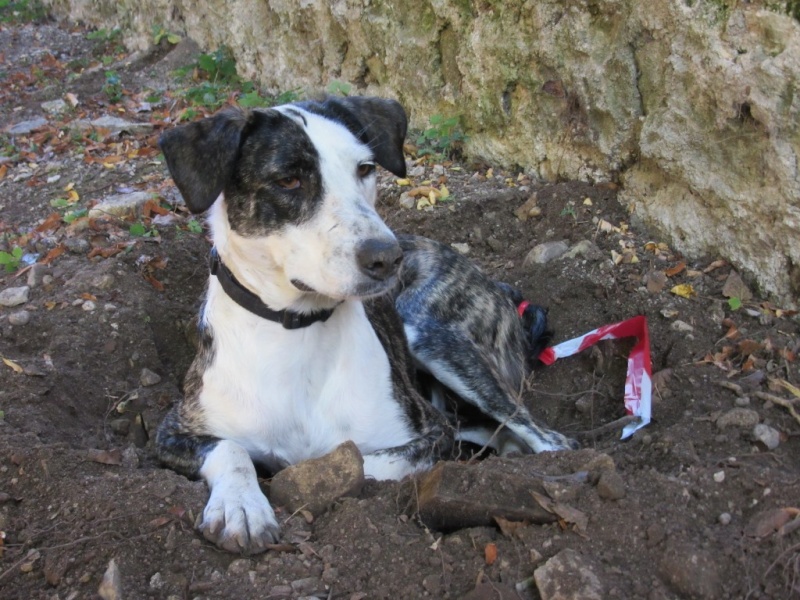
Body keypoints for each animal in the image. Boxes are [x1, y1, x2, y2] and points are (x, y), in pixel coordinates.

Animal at [156, 97, 580, 552]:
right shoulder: (172, 431)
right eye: (288, 179)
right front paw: (242, 507)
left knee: (547, 436)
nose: (387, 257)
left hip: (433, 340)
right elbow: (231, 450)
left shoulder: (432, 432)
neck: (298, 330)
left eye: (364, 168)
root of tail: (497, 286)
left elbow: (359, 462)